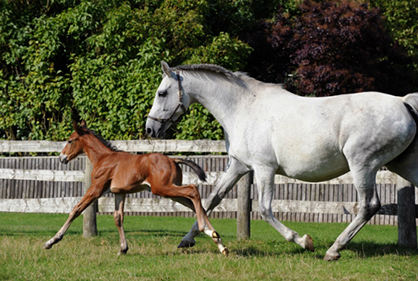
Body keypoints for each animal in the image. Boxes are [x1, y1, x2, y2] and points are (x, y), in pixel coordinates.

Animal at [43, 119, 229, 255]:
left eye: (70, 140)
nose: (61, 158)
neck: (103, 158)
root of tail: (173, 160)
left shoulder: (96, 189)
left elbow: (76, 209)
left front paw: (51, 241)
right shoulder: (120, 193)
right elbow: (118, 218)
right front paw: (123, 249)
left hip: (162, 189)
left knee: (193, 190)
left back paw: (206, 230)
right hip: (170, 190)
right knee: (195, 203)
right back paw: (218, 241)